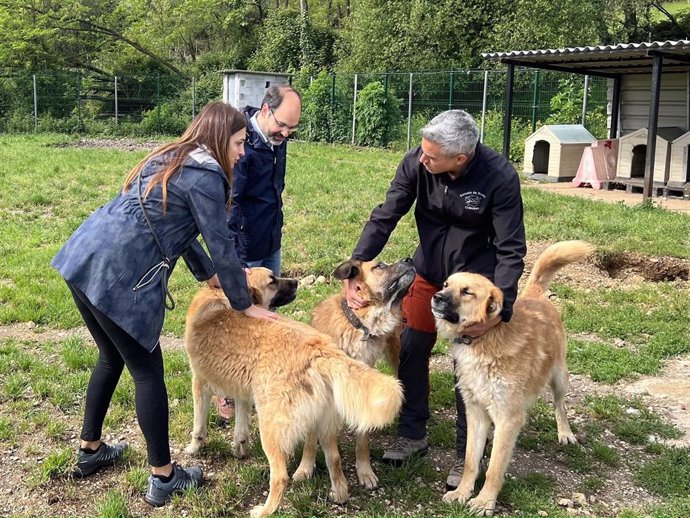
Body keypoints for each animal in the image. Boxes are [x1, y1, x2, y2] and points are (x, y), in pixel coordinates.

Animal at [183, 268, 404, 518]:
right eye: (272, 281)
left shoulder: (200, 383)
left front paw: (194, 448)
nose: (296, 282)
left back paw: (264, 510)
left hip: (271, 428)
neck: (221, 298)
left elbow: (199, 427)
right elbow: (240, 429)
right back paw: (339, 495)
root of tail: (319, 350)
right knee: (334, 459)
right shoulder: (242, 392)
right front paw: (239, 449)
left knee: (280, 477)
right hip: (324, 423)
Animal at [292, 260, 414, 492]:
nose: (409, 260)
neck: (359, 324)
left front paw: (365, 472)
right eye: (379, 265)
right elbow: (311, 440)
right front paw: (305, 468)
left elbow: (362, 442)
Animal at [430, 243, 592, 516]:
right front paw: (462, 492)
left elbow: (495, 468)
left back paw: (565, 432)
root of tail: (534, 296)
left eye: (467, 291)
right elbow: (470, 461)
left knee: (560, 404)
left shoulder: (507, 417)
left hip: (559, 377)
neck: (484, 338)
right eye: (445, 284)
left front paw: (484, 502)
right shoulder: (476, 413)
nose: (436, 297)